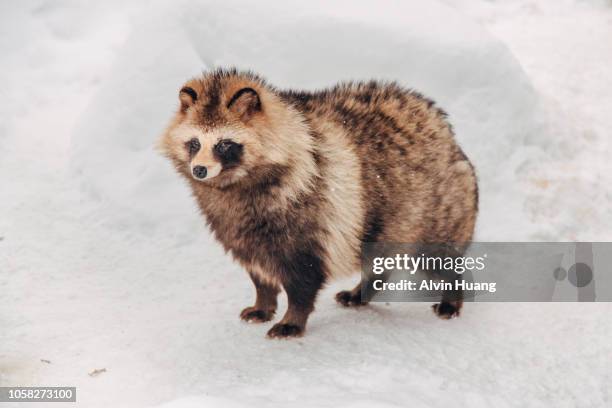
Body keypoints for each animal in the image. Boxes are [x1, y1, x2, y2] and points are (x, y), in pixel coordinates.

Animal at [159, 68, 478, 340]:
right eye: (195, 143)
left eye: (224, 144)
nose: (199, 170)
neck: (235, 184)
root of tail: (445, 131)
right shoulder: (238, 226)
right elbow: (258, 270)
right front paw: (263, 301)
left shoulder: (310, 210)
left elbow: (304, 277)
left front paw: (292, 318)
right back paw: (363, 289)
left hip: (430, 210)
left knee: (436, 255)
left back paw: (451, 294)